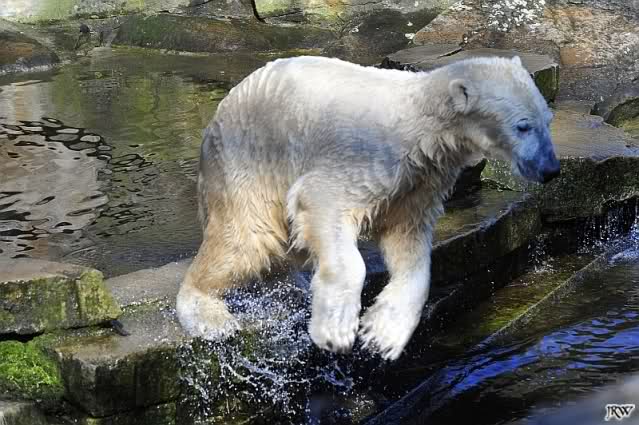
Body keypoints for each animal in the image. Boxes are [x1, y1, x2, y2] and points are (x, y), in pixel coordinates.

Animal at [176, 55, 560, 361]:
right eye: (522, 126)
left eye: (548, 120)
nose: (551, 169)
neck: (422, 121)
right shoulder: (368, 158)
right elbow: (321, 201)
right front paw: (336, 331)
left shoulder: (419, 182)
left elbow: (408, 244)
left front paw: (383, 334)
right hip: (250, 156)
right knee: (246, 239)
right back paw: (209, 314)